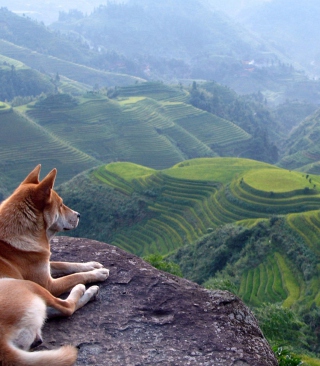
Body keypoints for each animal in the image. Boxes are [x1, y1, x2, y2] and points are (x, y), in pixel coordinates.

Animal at [0, 166, 110, 366]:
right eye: (61, 205)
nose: (79, 215)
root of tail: (2, 345)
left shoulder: (45, 264)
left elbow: (65, 264)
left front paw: (91, 264)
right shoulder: (48, 283)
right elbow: (74, 276)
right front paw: (98, 273)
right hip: (27, 286)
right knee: (66, 307)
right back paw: (86, 290)